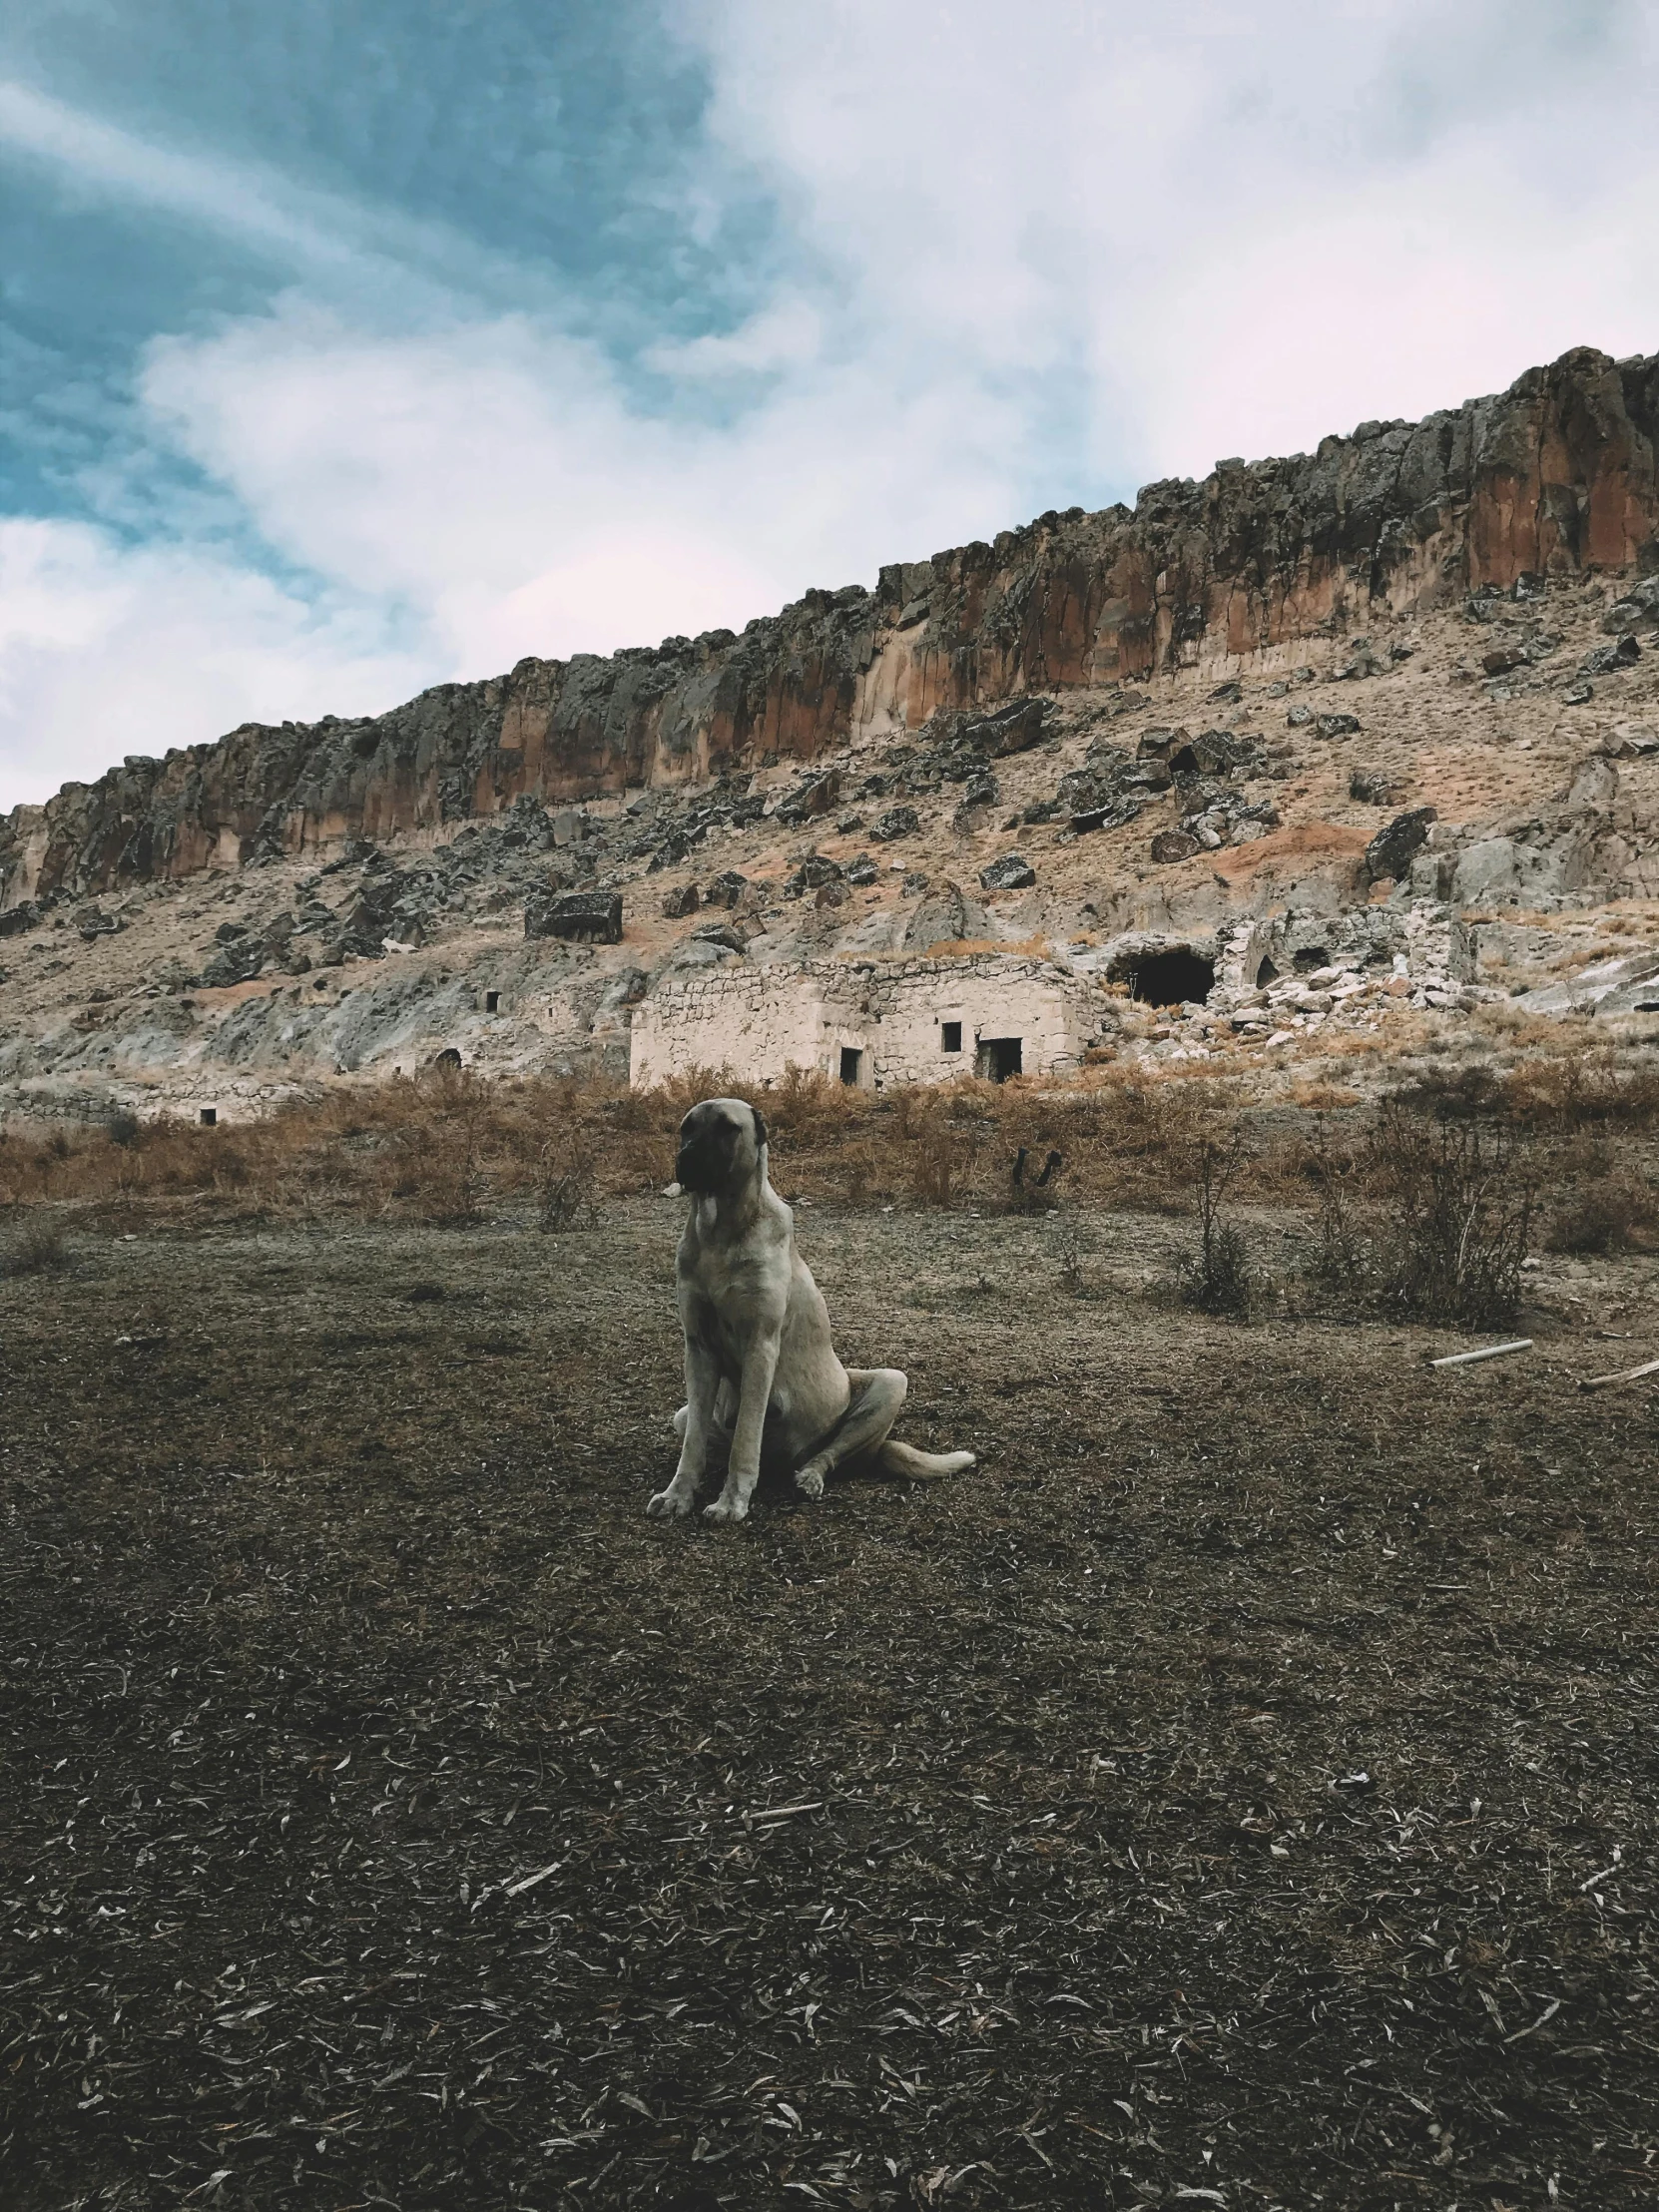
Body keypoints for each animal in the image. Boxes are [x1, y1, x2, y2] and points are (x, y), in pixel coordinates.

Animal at [650, 1101, 981, 1530]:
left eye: (727, 1128)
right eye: (686, 1128)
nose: (686, 1157)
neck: (719, 1233)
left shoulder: (760, 1346)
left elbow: (746, 1438)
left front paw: (731, 1501)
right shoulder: (698, 1348)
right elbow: (694, 1446)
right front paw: (678, 1495)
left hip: (892, 1383)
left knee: (829, 1454)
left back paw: (809, 1475)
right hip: (683, 1414)